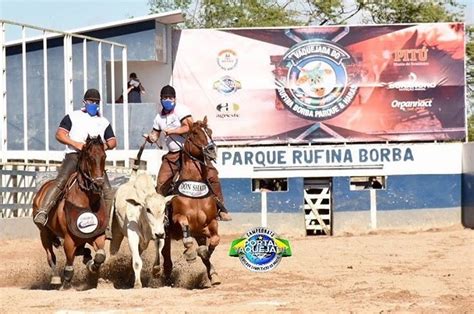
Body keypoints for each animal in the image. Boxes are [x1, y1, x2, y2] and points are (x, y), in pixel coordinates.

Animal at [32, 136, 108, 290]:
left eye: (104, 156)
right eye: (90, 157)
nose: (98, 183)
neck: (86, 201)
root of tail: (42, 190)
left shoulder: (98, 235)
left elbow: (100, 255)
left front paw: (93, 267)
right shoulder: (69, 239)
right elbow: (69, 262)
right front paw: (66, 283)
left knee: (83, 252)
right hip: (44, 233)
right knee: (50, 256)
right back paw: (56, 279)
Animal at [162, 116, 221, 288]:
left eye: (210, 132)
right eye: (195, 133)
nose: (211, 149)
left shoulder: (211, 221)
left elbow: (214, 242)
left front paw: (205, 254)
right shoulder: (178, 217)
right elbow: (185, 231)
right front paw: (190, 253)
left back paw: (213, 275)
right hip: (165, 233)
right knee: (165, 254)